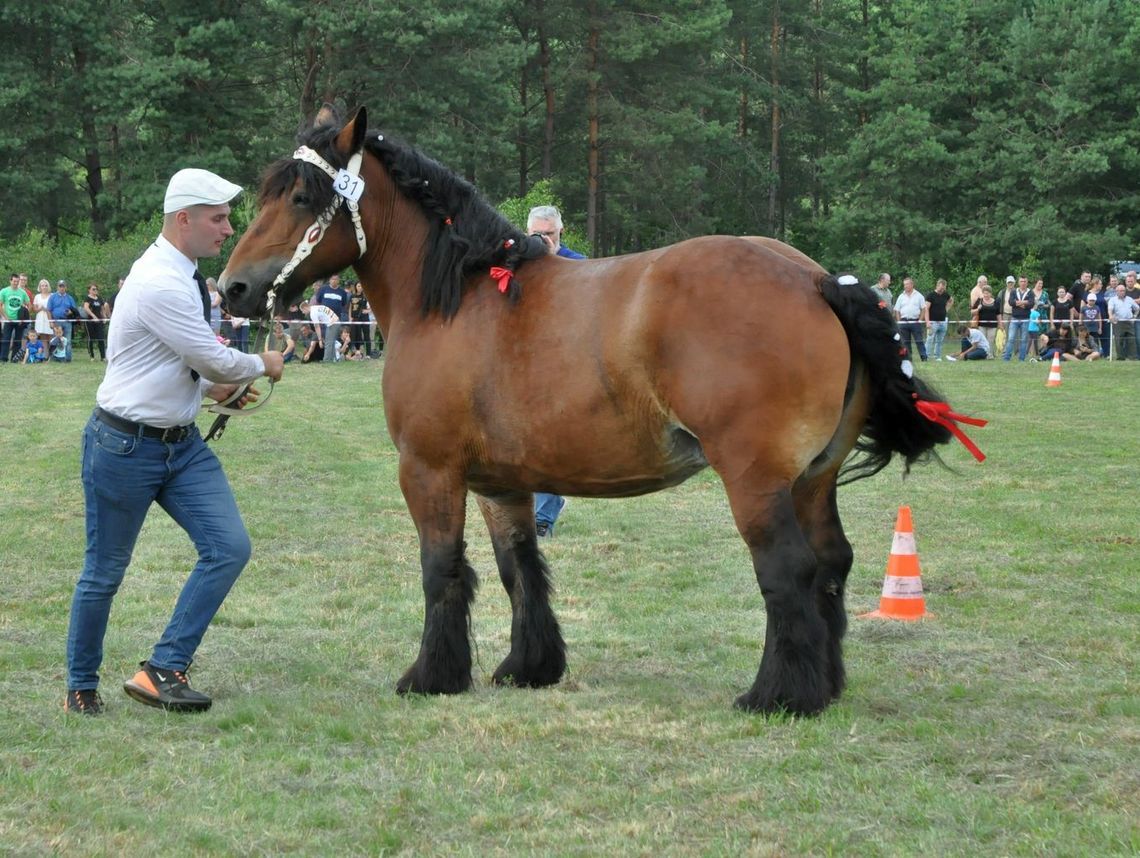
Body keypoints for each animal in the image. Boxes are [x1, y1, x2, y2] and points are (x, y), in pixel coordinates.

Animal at [217, 107, 984, 711]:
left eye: (301, 197)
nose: (233, 289)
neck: (457, 298)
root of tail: (817, 278)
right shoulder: (501, 482)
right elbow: (518, 568)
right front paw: (529, 666)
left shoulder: (429, 470)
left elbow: (442, 569)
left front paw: (432, 675)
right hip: (813, 479)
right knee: (830, 564)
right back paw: (822, 687)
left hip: (757, 480)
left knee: (787, 569)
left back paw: (777, 695)